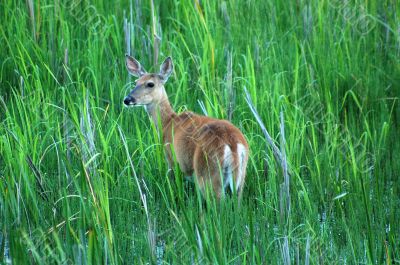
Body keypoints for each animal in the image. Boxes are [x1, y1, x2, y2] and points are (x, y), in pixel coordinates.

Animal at [124, 55, 250, 200]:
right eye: (136, 82)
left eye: (150, 84)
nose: (127, 99)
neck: (168, 123)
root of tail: (233, 144)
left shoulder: (171, 158)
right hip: (240, 178)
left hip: (207, 174)